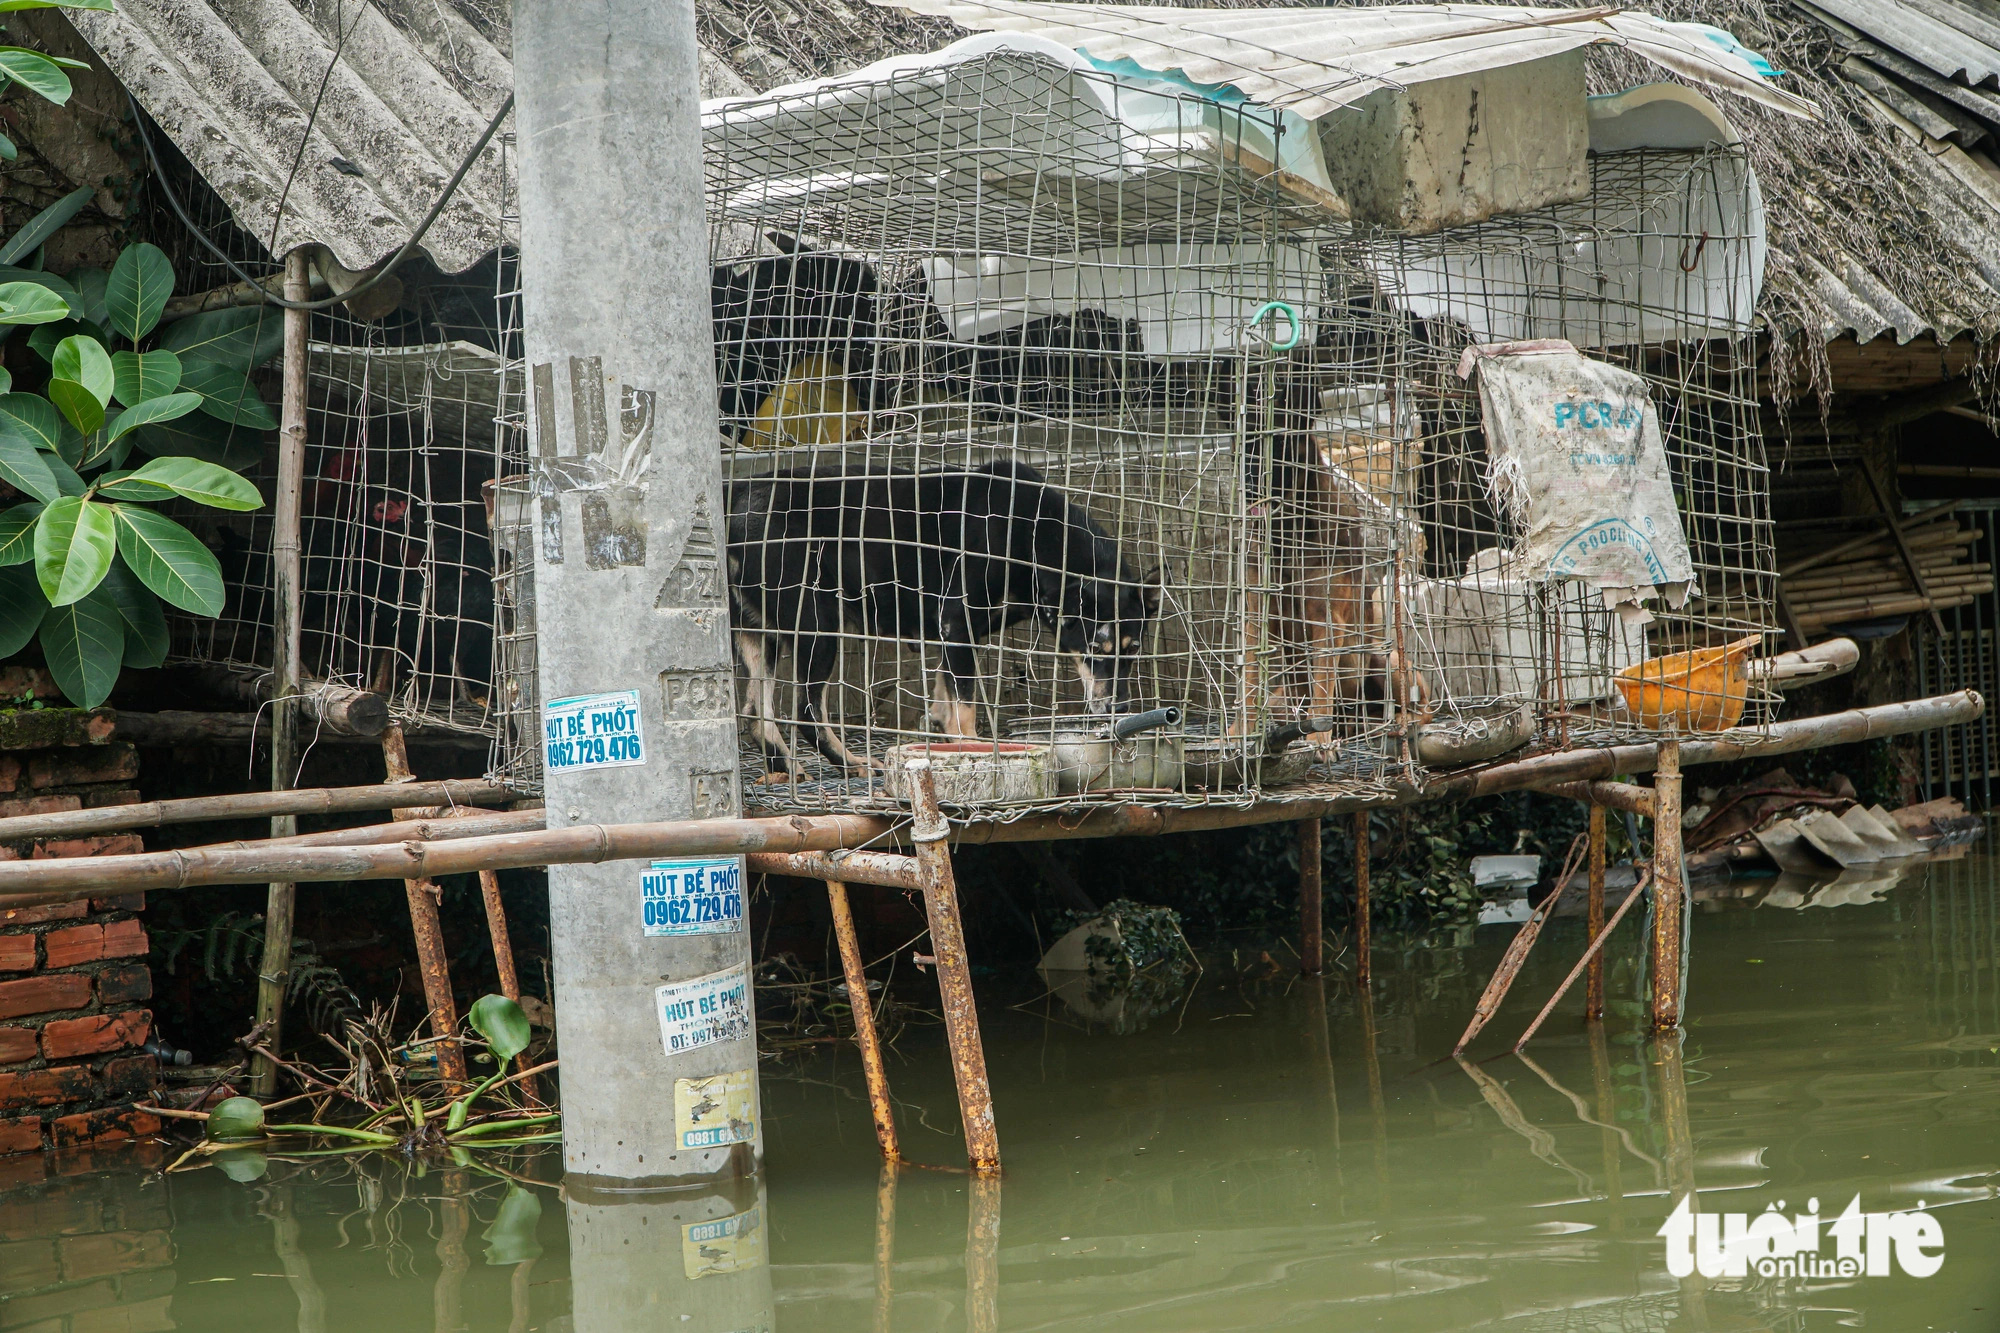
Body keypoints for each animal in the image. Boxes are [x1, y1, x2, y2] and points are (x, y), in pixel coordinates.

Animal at [728, 456, 1160, 772]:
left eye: (1134, 649)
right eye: (1095, 649)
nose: (1120, 709)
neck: (1030, 534)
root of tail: (740, 492)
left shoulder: (954, 632)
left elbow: (945, 696)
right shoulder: (959, 621)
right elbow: (966, 710)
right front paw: (977, 750)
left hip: (758, 632)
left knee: (755, 712)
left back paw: (785, 766)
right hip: (819, 625)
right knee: (805, 710)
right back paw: (853, 764)